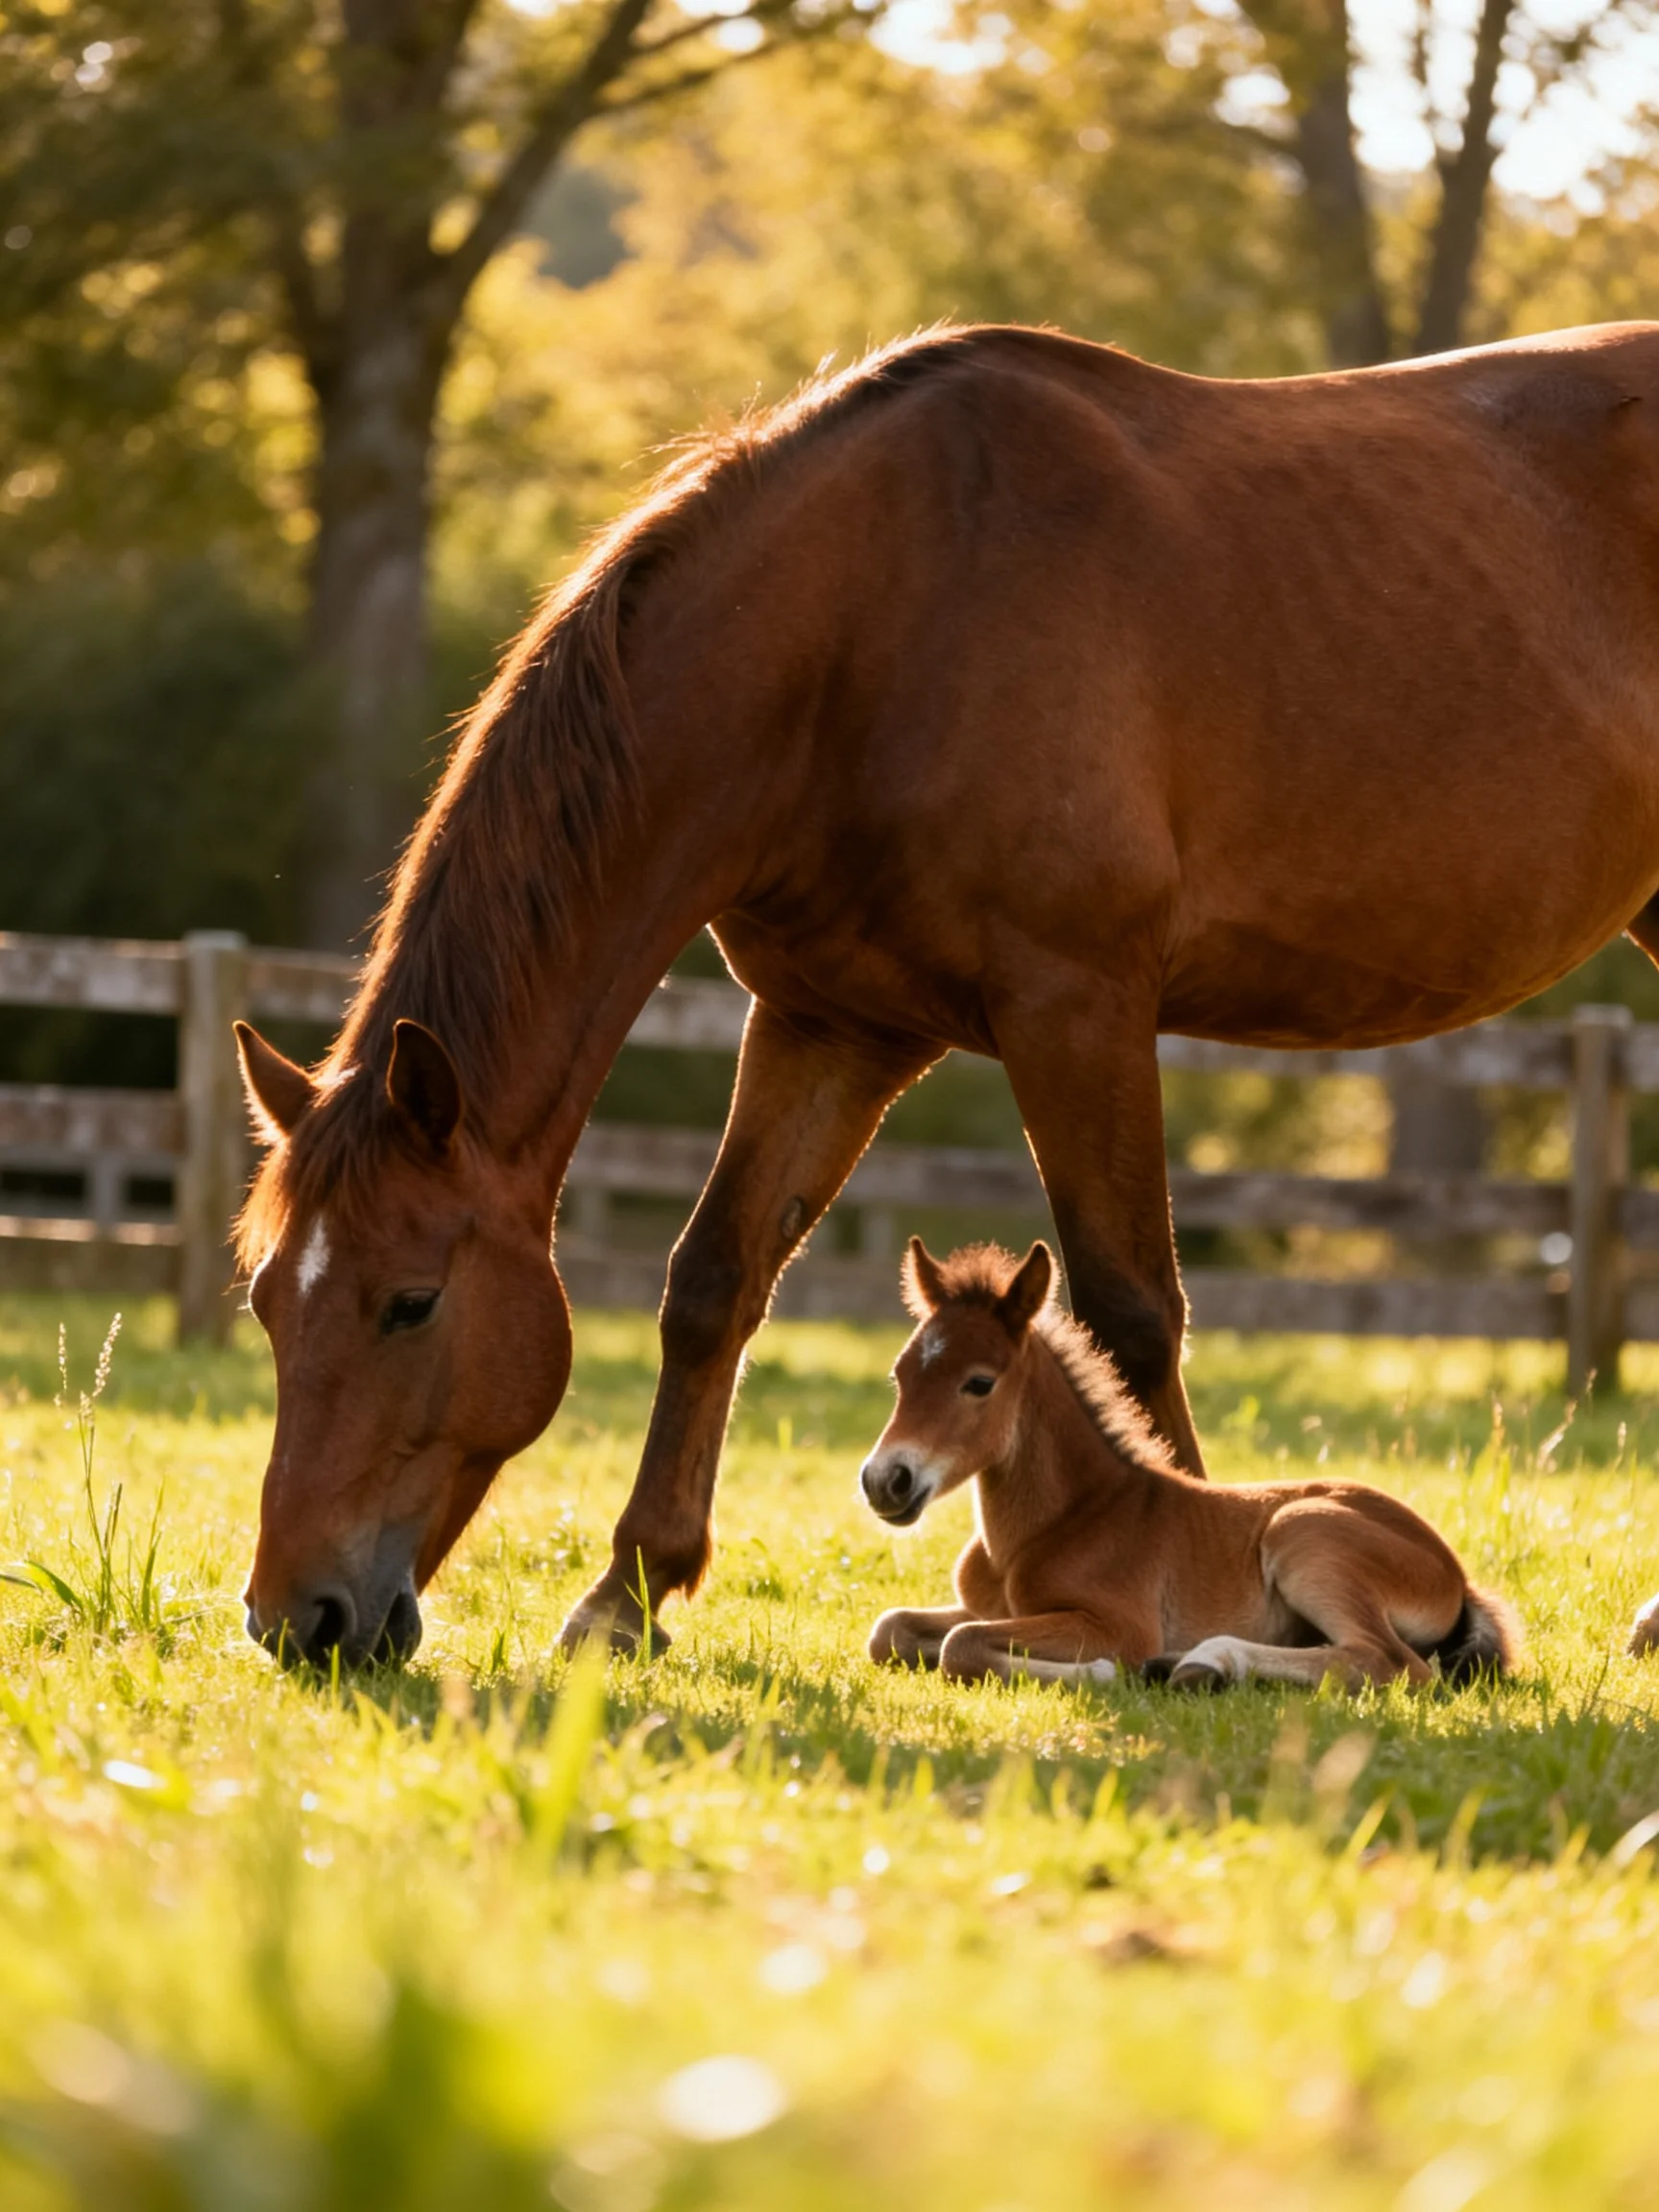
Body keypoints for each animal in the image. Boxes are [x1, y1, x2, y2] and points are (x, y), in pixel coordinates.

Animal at [861, 1239, 1522, 1691]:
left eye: (979, 1382)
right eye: (900, 1376)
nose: (884, 1480)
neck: (1060, 1520)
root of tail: (1457, 1577)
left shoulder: (1115, 1622)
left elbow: (960, 1645)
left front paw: (1103, 1673)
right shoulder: (990, 1608)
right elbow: (890, 1629)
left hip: (1304, 1533)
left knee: (1389, 1663)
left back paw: (1205, 1661)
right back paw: (1183, 1665)